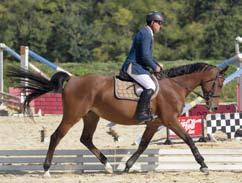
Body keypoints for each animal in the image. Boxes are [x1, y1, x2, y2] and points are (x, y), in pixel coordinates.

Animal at [8, 62, 229, 176]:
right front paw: (203, 165)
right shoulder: (170, 120)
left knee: (85, 139)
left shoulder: (155, 122)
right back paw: (46, 169)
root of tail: (73, 79)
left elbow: (143, 145)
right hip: (73, 115)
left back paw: (107, 166)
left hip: (91, 116)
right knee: (56, 136)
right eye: (218, 83)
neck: (174, 85)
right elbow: (189, 139)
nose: (214, 107)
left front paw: (127, 166)